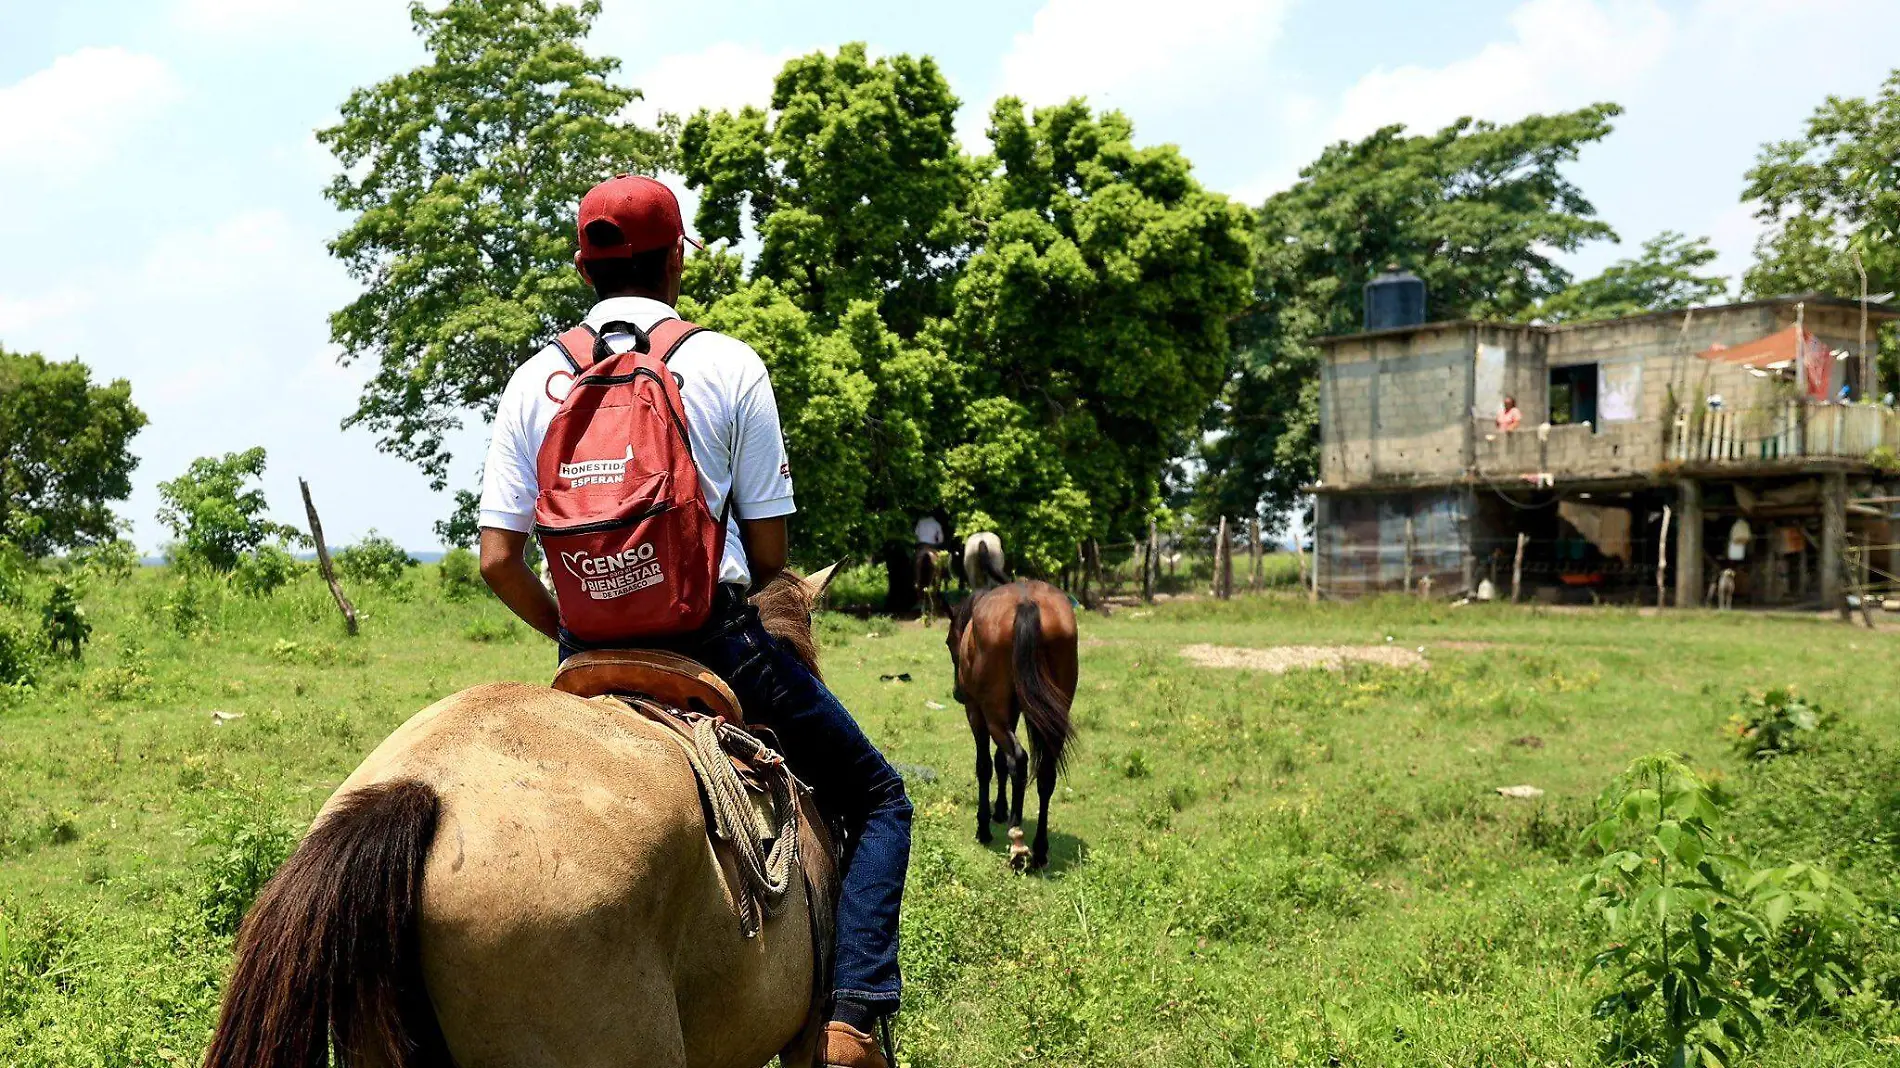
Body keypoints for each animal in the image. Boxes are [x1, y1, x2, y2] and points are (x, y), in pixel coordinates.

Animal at [946, 573, 1079, 866]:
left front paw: (985, 824)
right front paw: (1000, 809)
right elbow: (1000, 761)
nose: (957, 692)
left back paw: (1017, 842)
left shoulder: (977, 712)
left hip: (991, 713)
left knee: (1018, 759)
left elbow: (986, 764)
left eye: (949, 642)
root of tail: (1026, 603)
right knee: (1045, 773)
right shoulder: (1014, 711)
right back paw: (1039, 849)